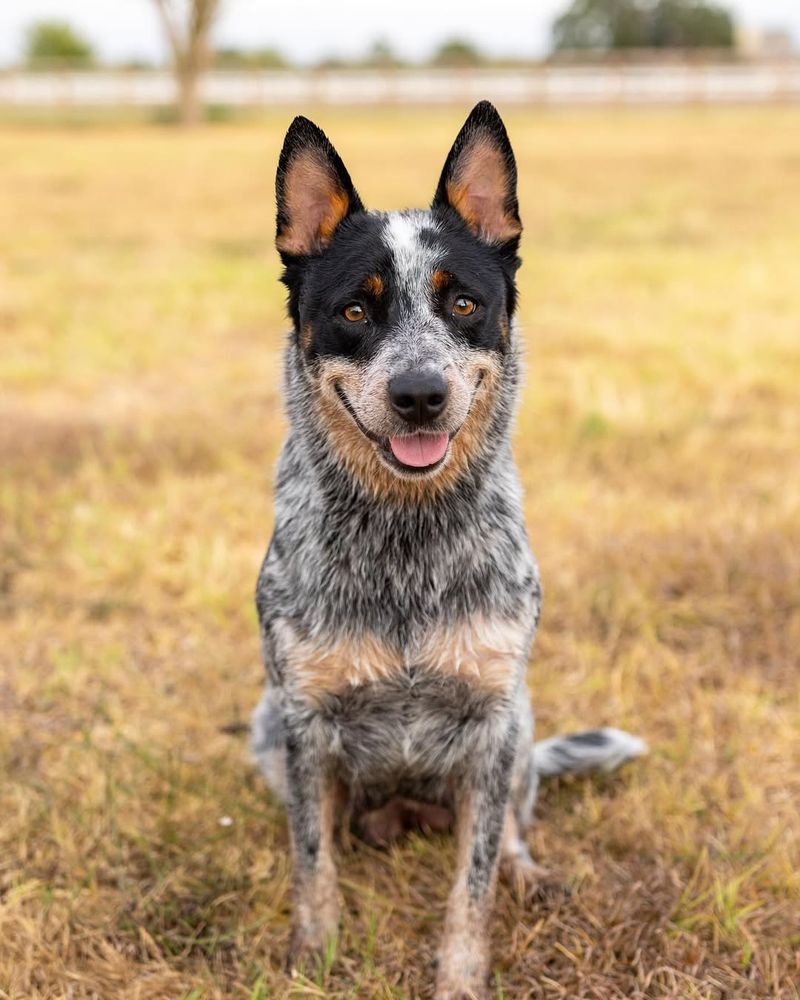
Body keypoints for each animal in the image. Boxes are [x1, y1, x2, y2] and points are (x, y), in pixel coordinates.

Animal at [253, 103, 648, 1000]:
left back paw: (527, 872)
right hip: (267, 727)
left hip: (521, 726)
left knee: (506, 835)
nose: (419, 394)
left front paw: (462, 976)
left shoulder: (493, 721)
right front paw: (312, 955)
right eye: (355, 312)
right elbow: (310, 860)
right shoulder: (303, 719)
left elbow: (471, 882)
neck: (407, 536)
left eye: (463, 303)